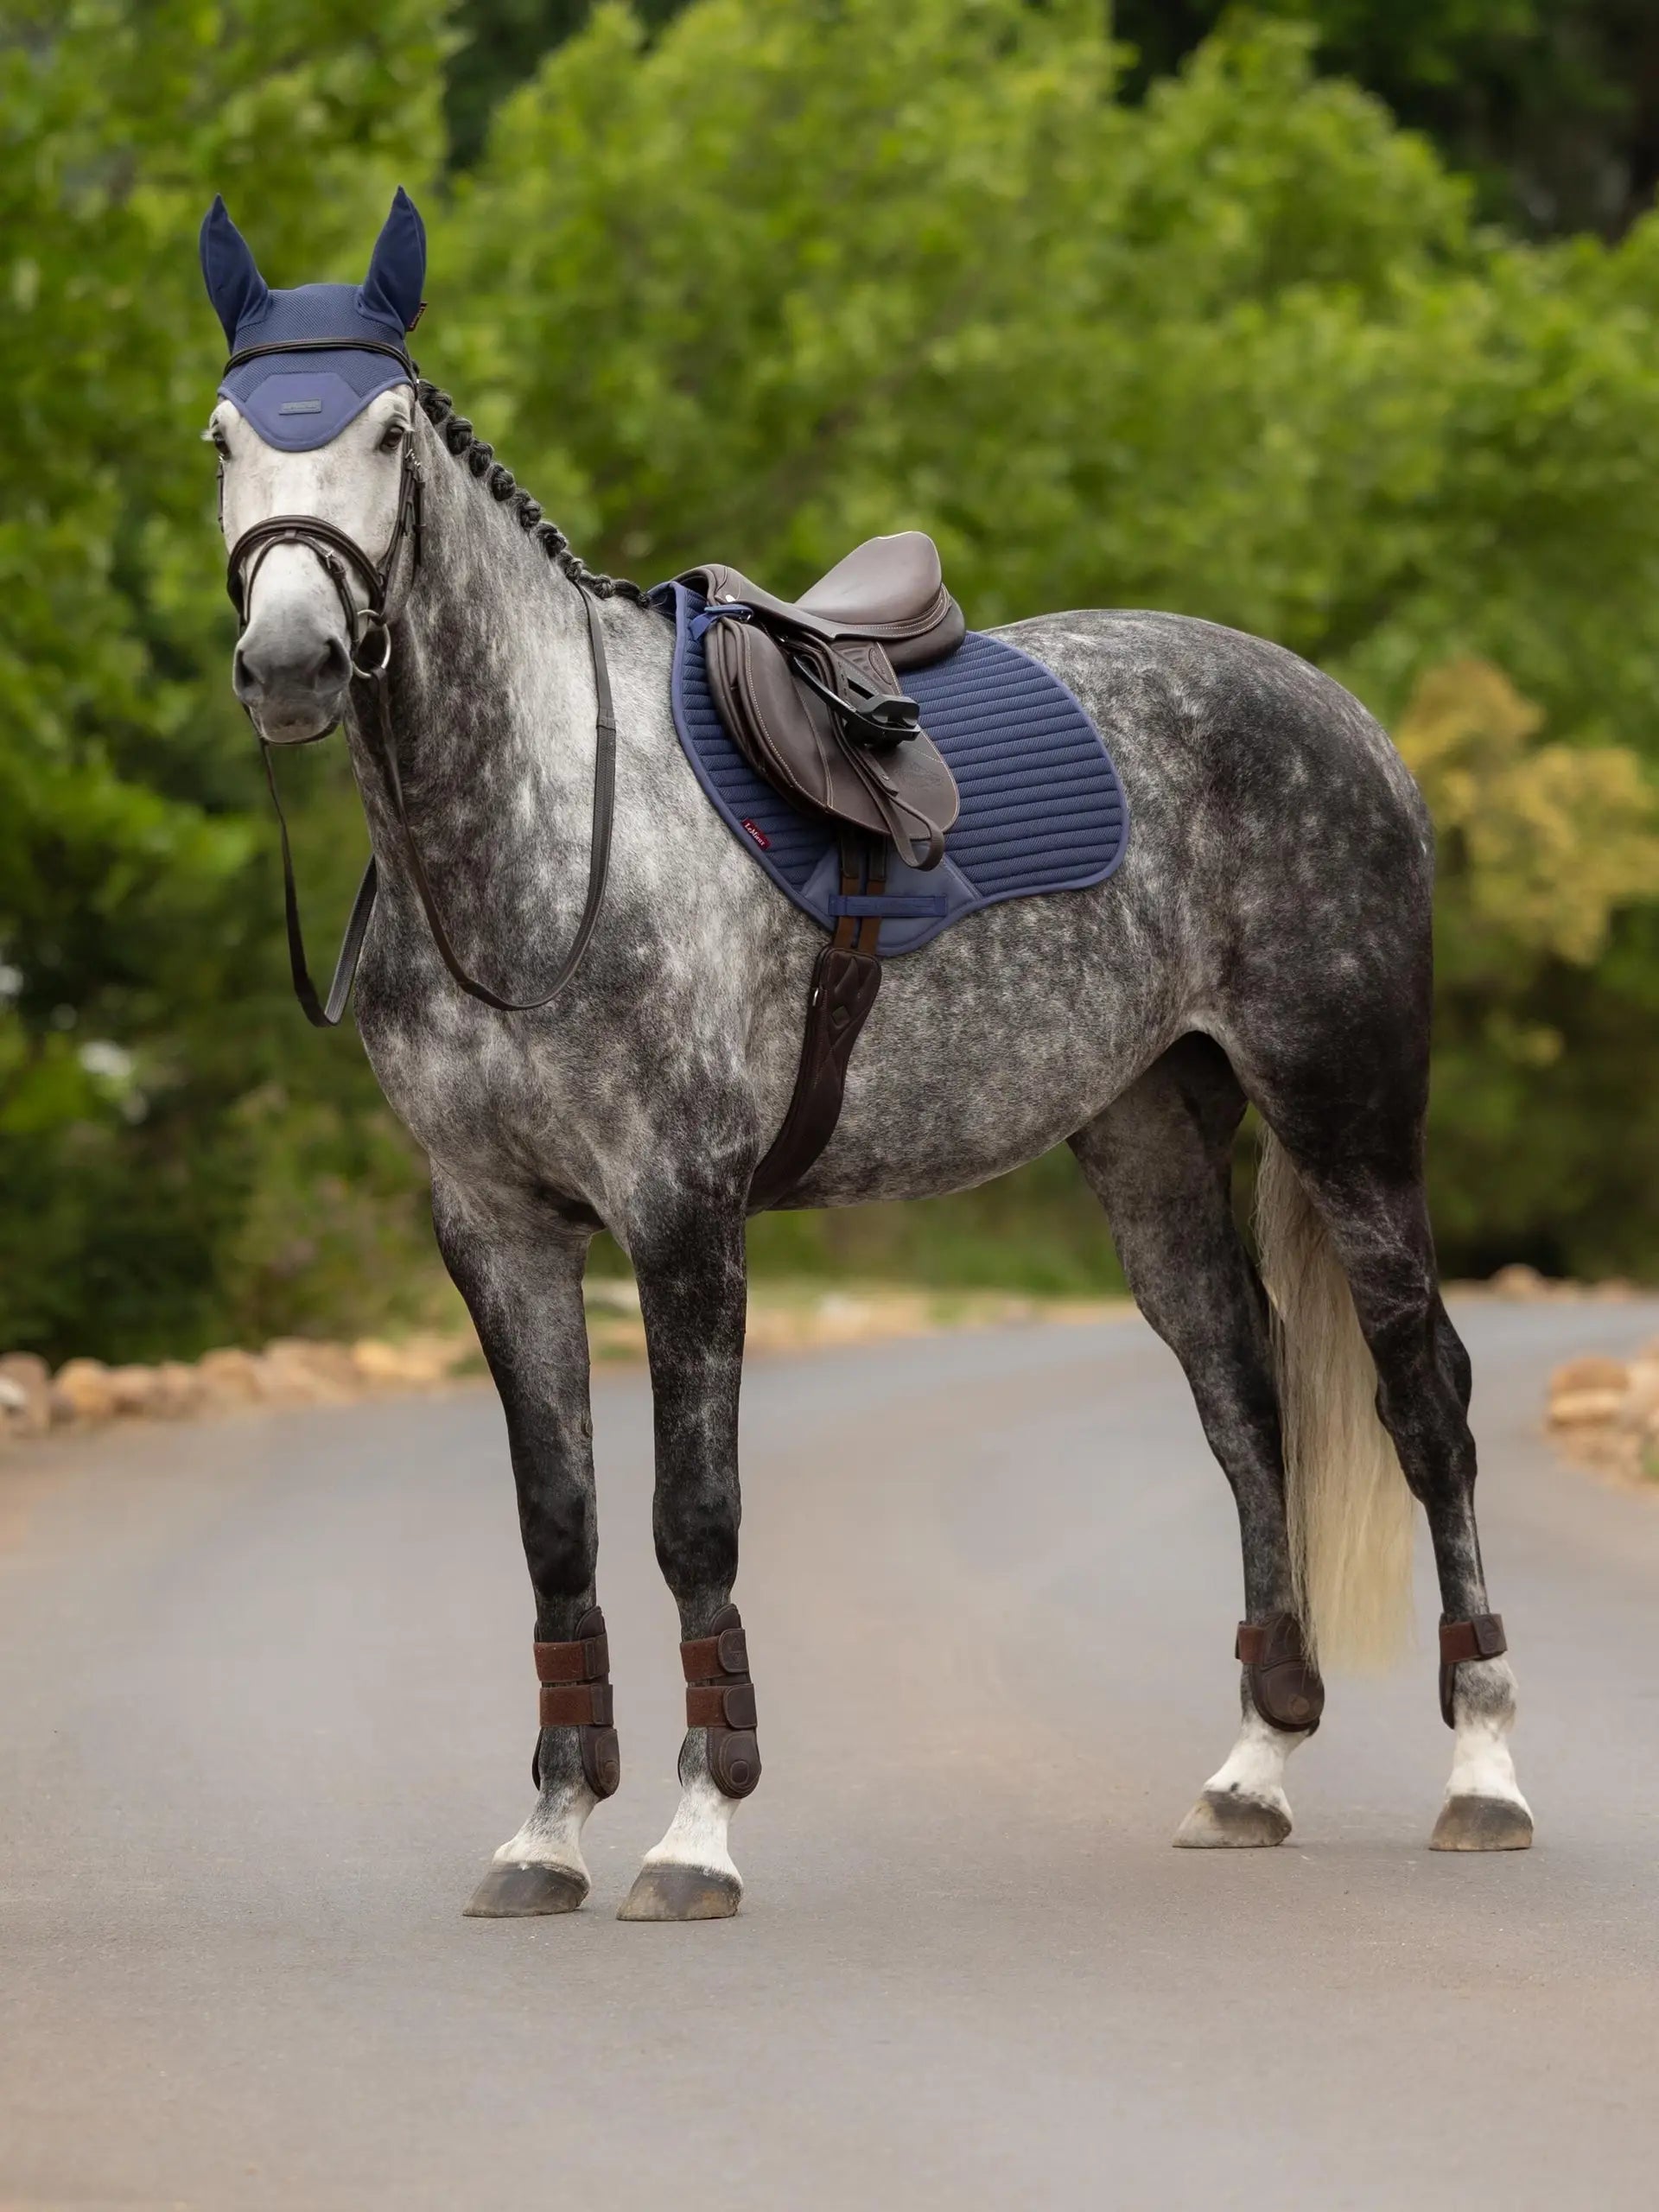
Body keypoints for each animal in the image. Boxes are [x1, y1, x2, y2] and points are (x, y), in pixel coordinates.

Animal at [200, 190, 1531, 1922]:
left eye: (387, 429)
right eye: (225, 433)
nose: (290, 660)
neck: (553, 832)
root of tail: (1348, 722)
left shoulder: (681, 1218)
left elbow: (692, 1522)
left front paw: (697, 1832)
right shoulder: (493, 1230)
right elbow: (558, 1529)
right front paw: (548, 1832)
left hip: (1347, 1115)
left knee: (1423, 1400)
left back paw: (1483, 1771)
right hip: (1151, 1138)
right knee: (1247, 1403)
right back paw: (1252, 1770)